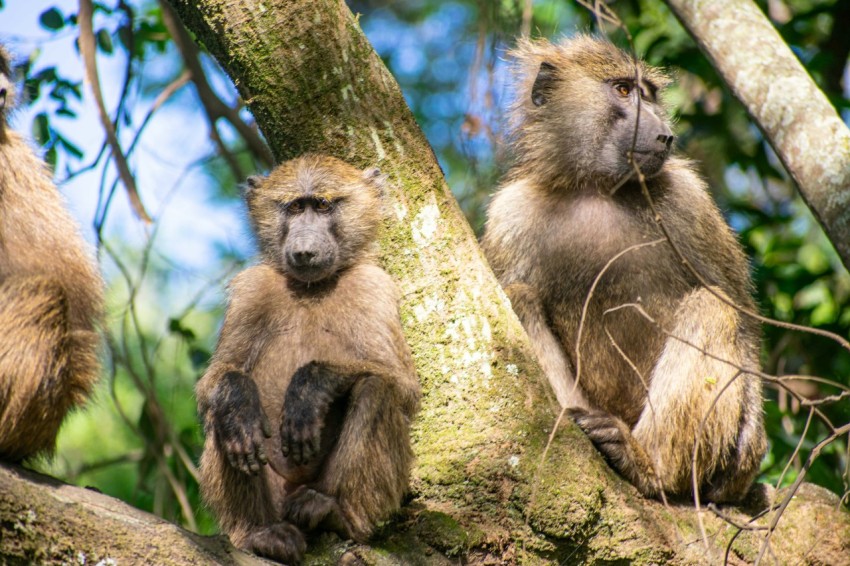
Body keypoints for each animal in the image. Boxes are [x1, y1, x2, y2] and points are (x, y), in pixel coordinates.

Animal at [196, 154, 420, 564]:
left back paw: (336, 512)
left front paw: (309, 389)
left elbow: (402, 385)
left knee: (375, 389)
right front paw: (238, 405)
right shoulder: (251, 289)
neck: (311, 288)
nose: (304, 251)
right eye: (295, 208)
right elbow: (217, 381)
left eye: (323, 205)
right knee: (223, 418)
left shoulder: (374, 287)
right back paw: (261, 533)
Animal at [481, 35, 766, 503]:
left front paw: (750, 444)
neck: (597, 187)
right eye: (621, 90)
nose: (664, 134)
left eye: (647, 94)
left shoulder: (688, 198)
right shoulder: (509, 217)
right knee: (519, 296)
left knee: (712, 305)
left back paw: (650, 466)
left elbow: (740, 312)